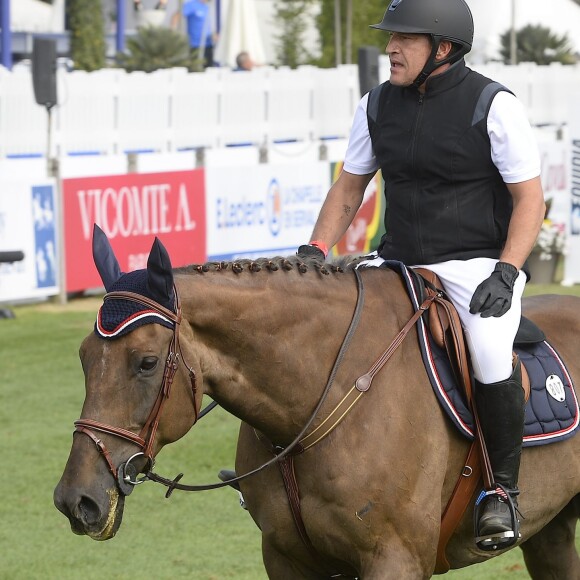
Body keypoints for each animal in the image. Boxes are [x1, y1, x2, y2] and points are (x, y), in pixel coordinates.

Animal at [54, 229, 580, 576]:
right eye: (82, 357)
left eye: (145, 363)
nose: (75, 500)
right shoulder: (286, 558)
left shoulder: (397, 558)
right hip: (550, 531)